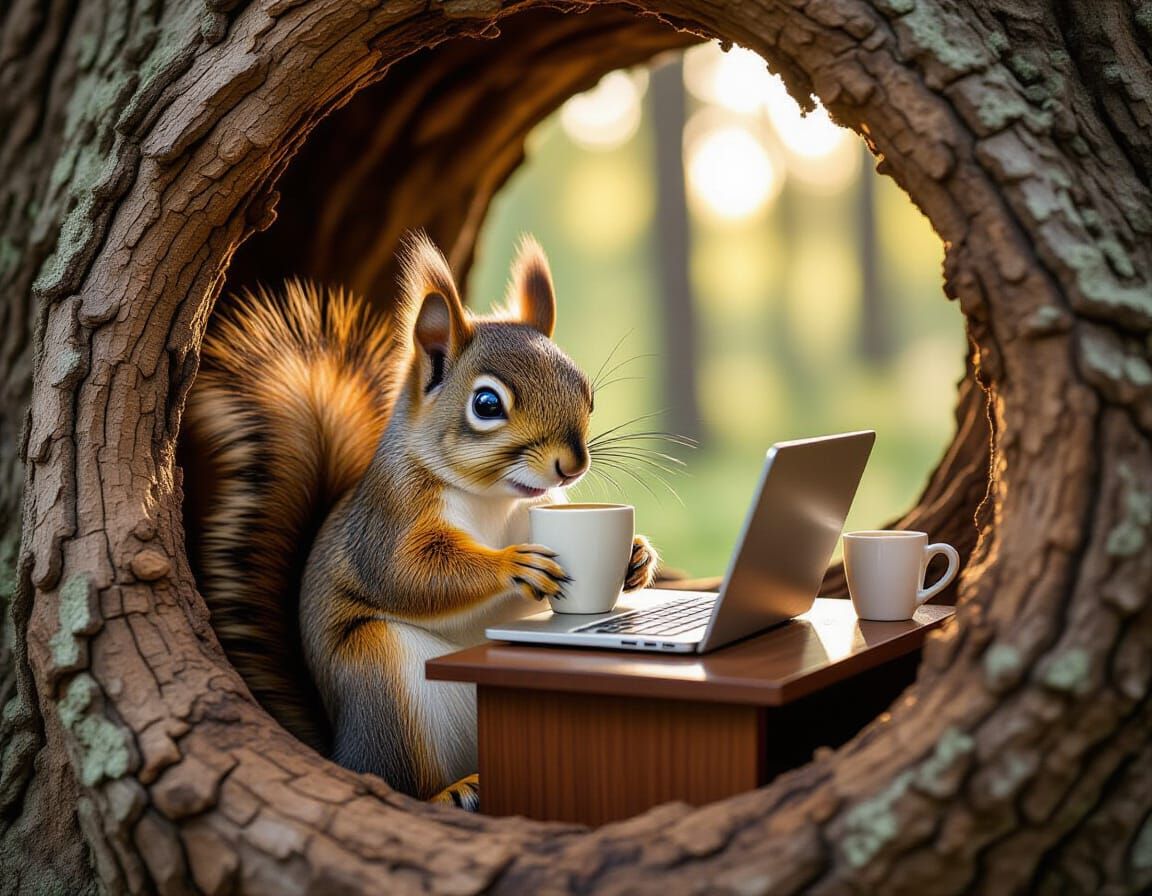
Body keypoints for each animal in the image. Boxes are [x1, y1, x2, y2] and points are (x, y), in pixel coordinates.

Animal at [180, 233, 659, 806]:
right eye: (486, 403)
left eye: (586, 391)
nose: (573, 466)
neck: (495, 500)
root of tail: (338, 745)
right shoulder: (389, 520)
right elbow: (409, 574)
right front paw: (513, 566)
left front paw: (638, 557)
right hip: (381, 675)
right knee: (391, 776)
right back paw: (451, 792)